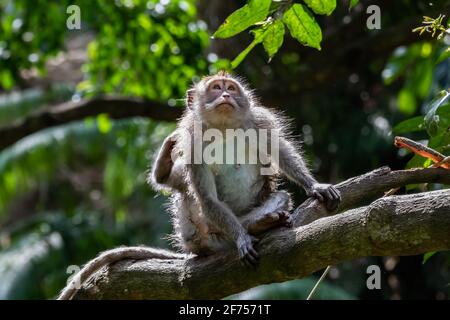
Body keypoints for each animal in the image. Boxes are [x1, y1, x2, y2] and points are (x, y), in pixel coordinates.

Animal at [151, 71, 342, 266]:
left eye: (231, 88)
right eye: (216, 87)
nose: (226, 95)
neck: (223, 127)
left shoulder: (260, 121)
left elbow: (281, 152)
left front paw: (315, 186)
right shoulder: (191, 142)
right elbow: (208, 197)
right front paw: (242, 237)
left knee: (281, 196)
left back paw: (261, 223)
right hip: (195, 232)